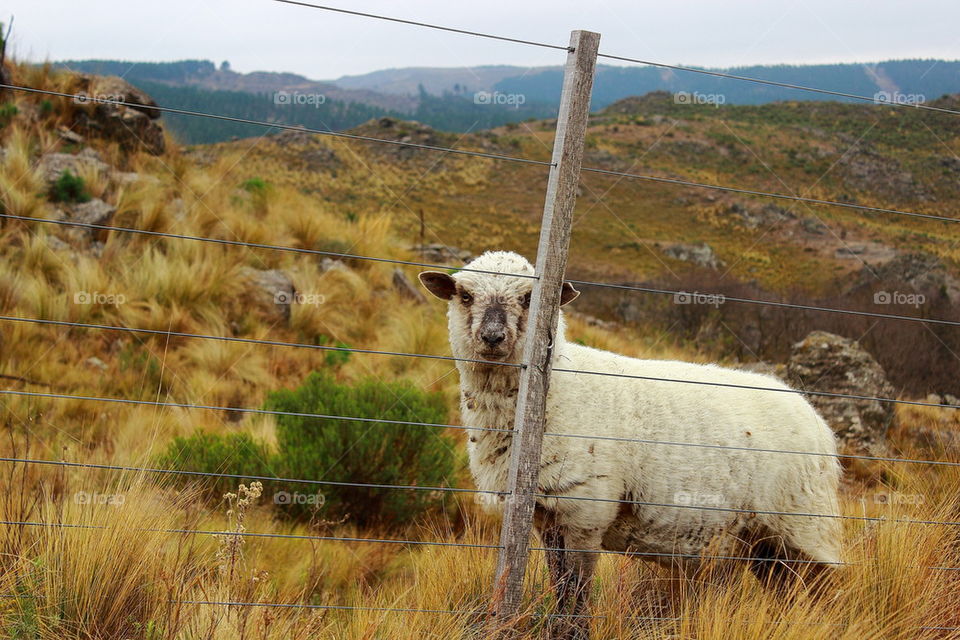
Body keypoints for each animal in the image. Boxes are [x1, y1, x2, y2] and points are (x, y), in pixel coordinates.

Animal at [419, 250, 842, 637]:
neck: (555, 385)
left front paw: (572, 632)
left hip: (803, 523)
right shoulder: (547, 515)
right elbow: (560, 586)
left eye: (528, 298)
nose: (492, 338)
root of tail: (814, 416)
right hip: (760, 539)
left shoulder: (587, 510)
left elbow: (576, 592)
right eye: (465, 295)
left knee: (823, 589)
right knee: (786, 591)